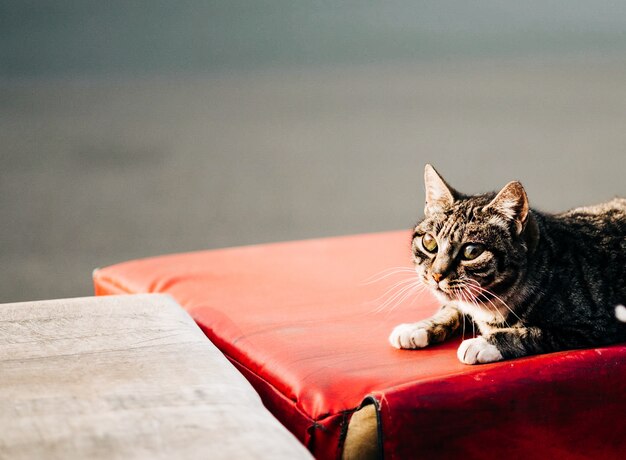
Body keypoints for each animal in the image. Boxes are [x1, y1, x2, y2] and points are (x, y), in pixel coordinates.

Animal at [388, 164, 624, 364]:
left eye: (471, 252)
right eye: (429, 242)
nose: (436, 274)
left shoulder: (595, 325)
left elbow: (534, 332)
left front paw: (483, 343)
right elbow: (453, 308)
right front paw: (418, 327)